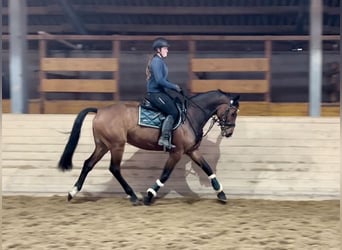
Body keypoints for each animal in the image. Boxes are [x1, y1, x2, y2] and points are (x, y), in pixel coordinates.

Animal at [58, 90, 240, 205]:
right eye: (233, 113)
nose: (229, 132)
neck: (191, 115)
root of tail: (100, 111)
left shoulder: (192, 151)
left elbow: (207, 168)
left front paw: (221, 193)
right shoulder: (177, 152)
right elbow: (165, 174)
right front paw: (149, 196)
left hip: (103, 145)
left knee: (88, 164)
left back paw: (72, 192)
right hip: (116, 145)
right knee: (114, 168)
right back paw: (132, 196)